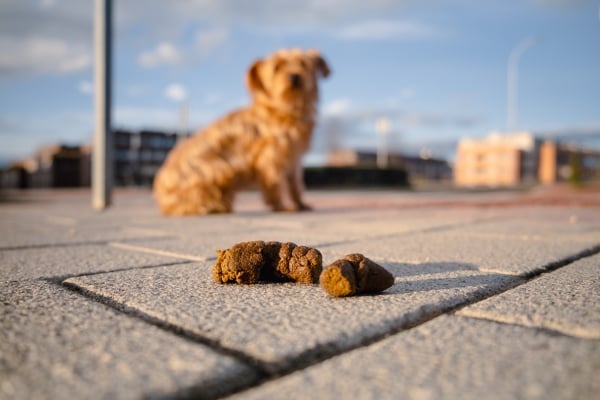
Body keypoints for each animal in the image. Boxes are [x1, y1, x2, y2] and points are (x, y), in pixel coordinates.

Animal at [152, 49, 330, 216]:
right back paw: (211, 207)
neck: (285, 109)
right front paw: (283, 206)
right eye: (276, 68)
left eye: (303, 64)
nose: (294, 77)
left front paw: (301, 204)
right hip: (219, 171)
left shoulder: (294, 157)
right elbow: (276, 183)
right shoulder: (272, 158)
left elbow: (296, 184)